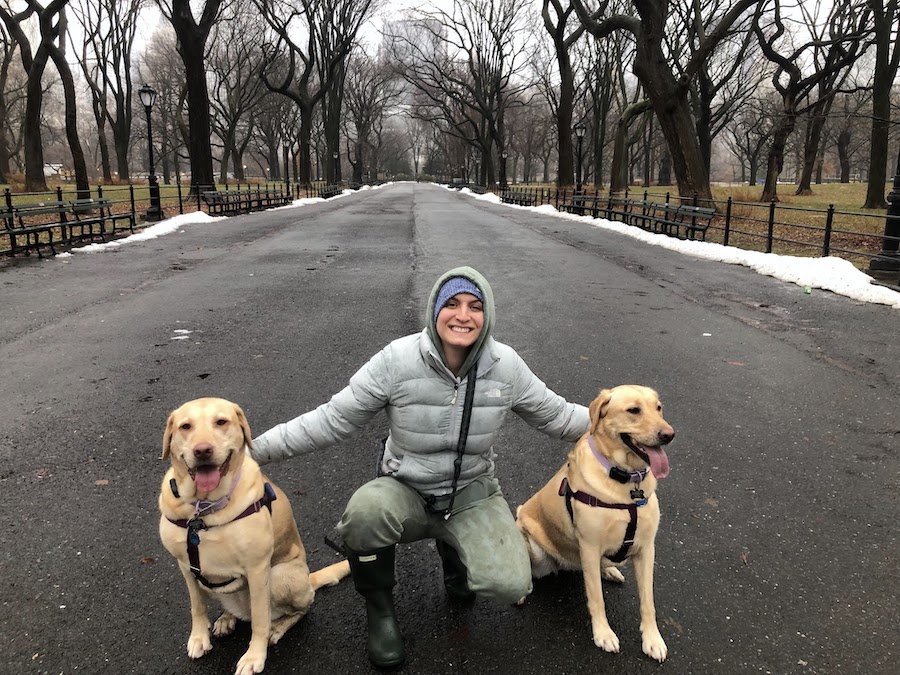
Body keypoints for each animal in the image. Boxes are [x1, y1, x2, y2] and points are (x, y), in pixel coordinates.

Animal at [158, 398, 348, 672]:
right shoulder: (186, 566)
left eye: (221, 422)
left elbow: (260, 619)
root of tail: (309, 578)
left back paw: (277, 627)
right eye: (185, 426)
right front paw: (199, 637)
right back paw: (227, 619)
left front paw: (254, 657)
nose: (202, 450)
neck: (203, 510)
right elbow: (197, 606)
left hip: (280, 575)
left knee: (300, 608)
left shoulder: (257, 568)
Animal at [516, 388, 672, 664]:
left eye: (659, 408)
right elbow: (596, 598)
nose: (669, 435)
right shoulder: (589, 546)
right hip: (531, 539)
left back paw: (609, 571)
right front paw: (603, 635)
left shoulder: (646, 548)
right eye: (634, 410)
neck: (627, 483)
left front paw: (653, 640)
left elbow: (648, 601)